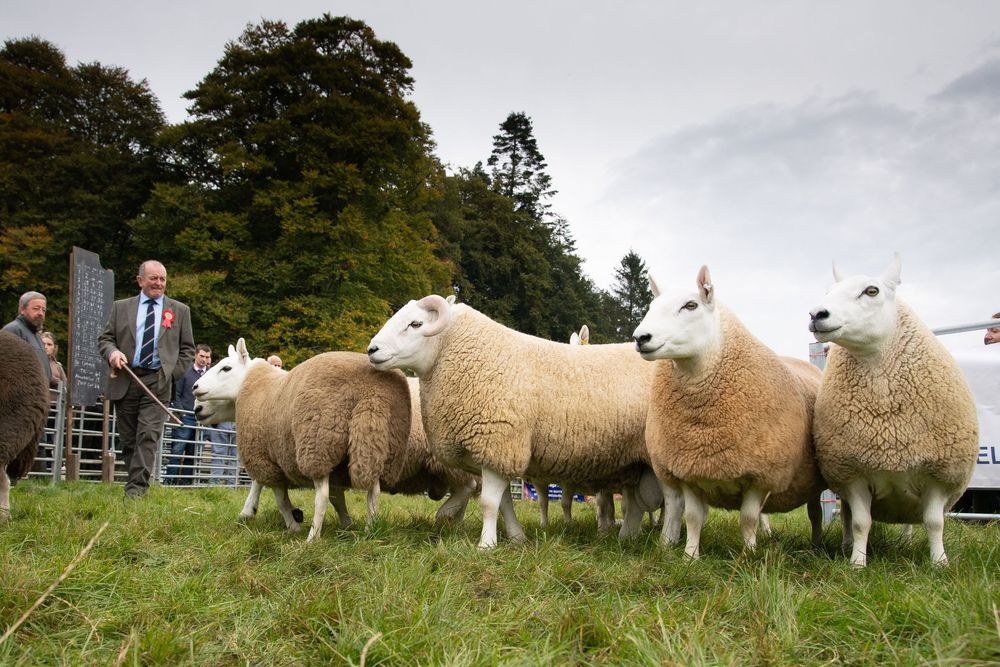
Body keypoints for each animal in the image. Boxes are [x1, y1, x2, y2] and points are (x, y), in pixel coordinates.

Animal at [193, 341, 478, 539]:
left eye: (225, 368)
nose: (196, 399)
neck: (264, 388)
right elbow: (334, 497)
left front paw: (288, 522)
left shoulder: (269, 452)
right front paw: (344, 523)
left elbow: (276, 493)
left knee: (468, 487)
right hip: (373, 443)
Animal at [367, 295, 683, 549]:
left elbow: (489, 503)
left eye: (416, 324)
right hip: (636, 463)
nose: (372, 350)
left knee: (673, 500)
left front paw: (486, 545)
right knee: (637, 504)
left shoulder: (498, 443)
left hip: (663, 451)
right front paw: (516, 537)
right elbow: (505, 503)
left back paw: (666, 543)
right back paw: (627, 538)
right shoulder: (497, 454)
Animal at [633, 266, 825, 559]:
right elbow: (693, 518)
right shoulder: (689, 468)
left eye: (691, 305)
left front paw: (749, 555)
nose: (640, 338)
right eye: (652, 307)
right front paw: (690, 556)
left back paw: (815, 545)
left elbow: (748, 519)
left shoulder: (760, 475)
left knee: (815, 514)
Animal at [808, 254, 979, 567]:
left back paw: (906, 542)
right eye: (828, 292)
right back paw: (846, 545)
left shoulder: (938, 476)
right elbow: (861, 522)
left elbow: (935, 522)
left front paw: (940, 563)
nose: (816, 314)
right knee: (847, 516)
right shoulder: (853, 474)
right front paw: (857, 563)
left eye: (871, 291)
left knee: (911, 521)